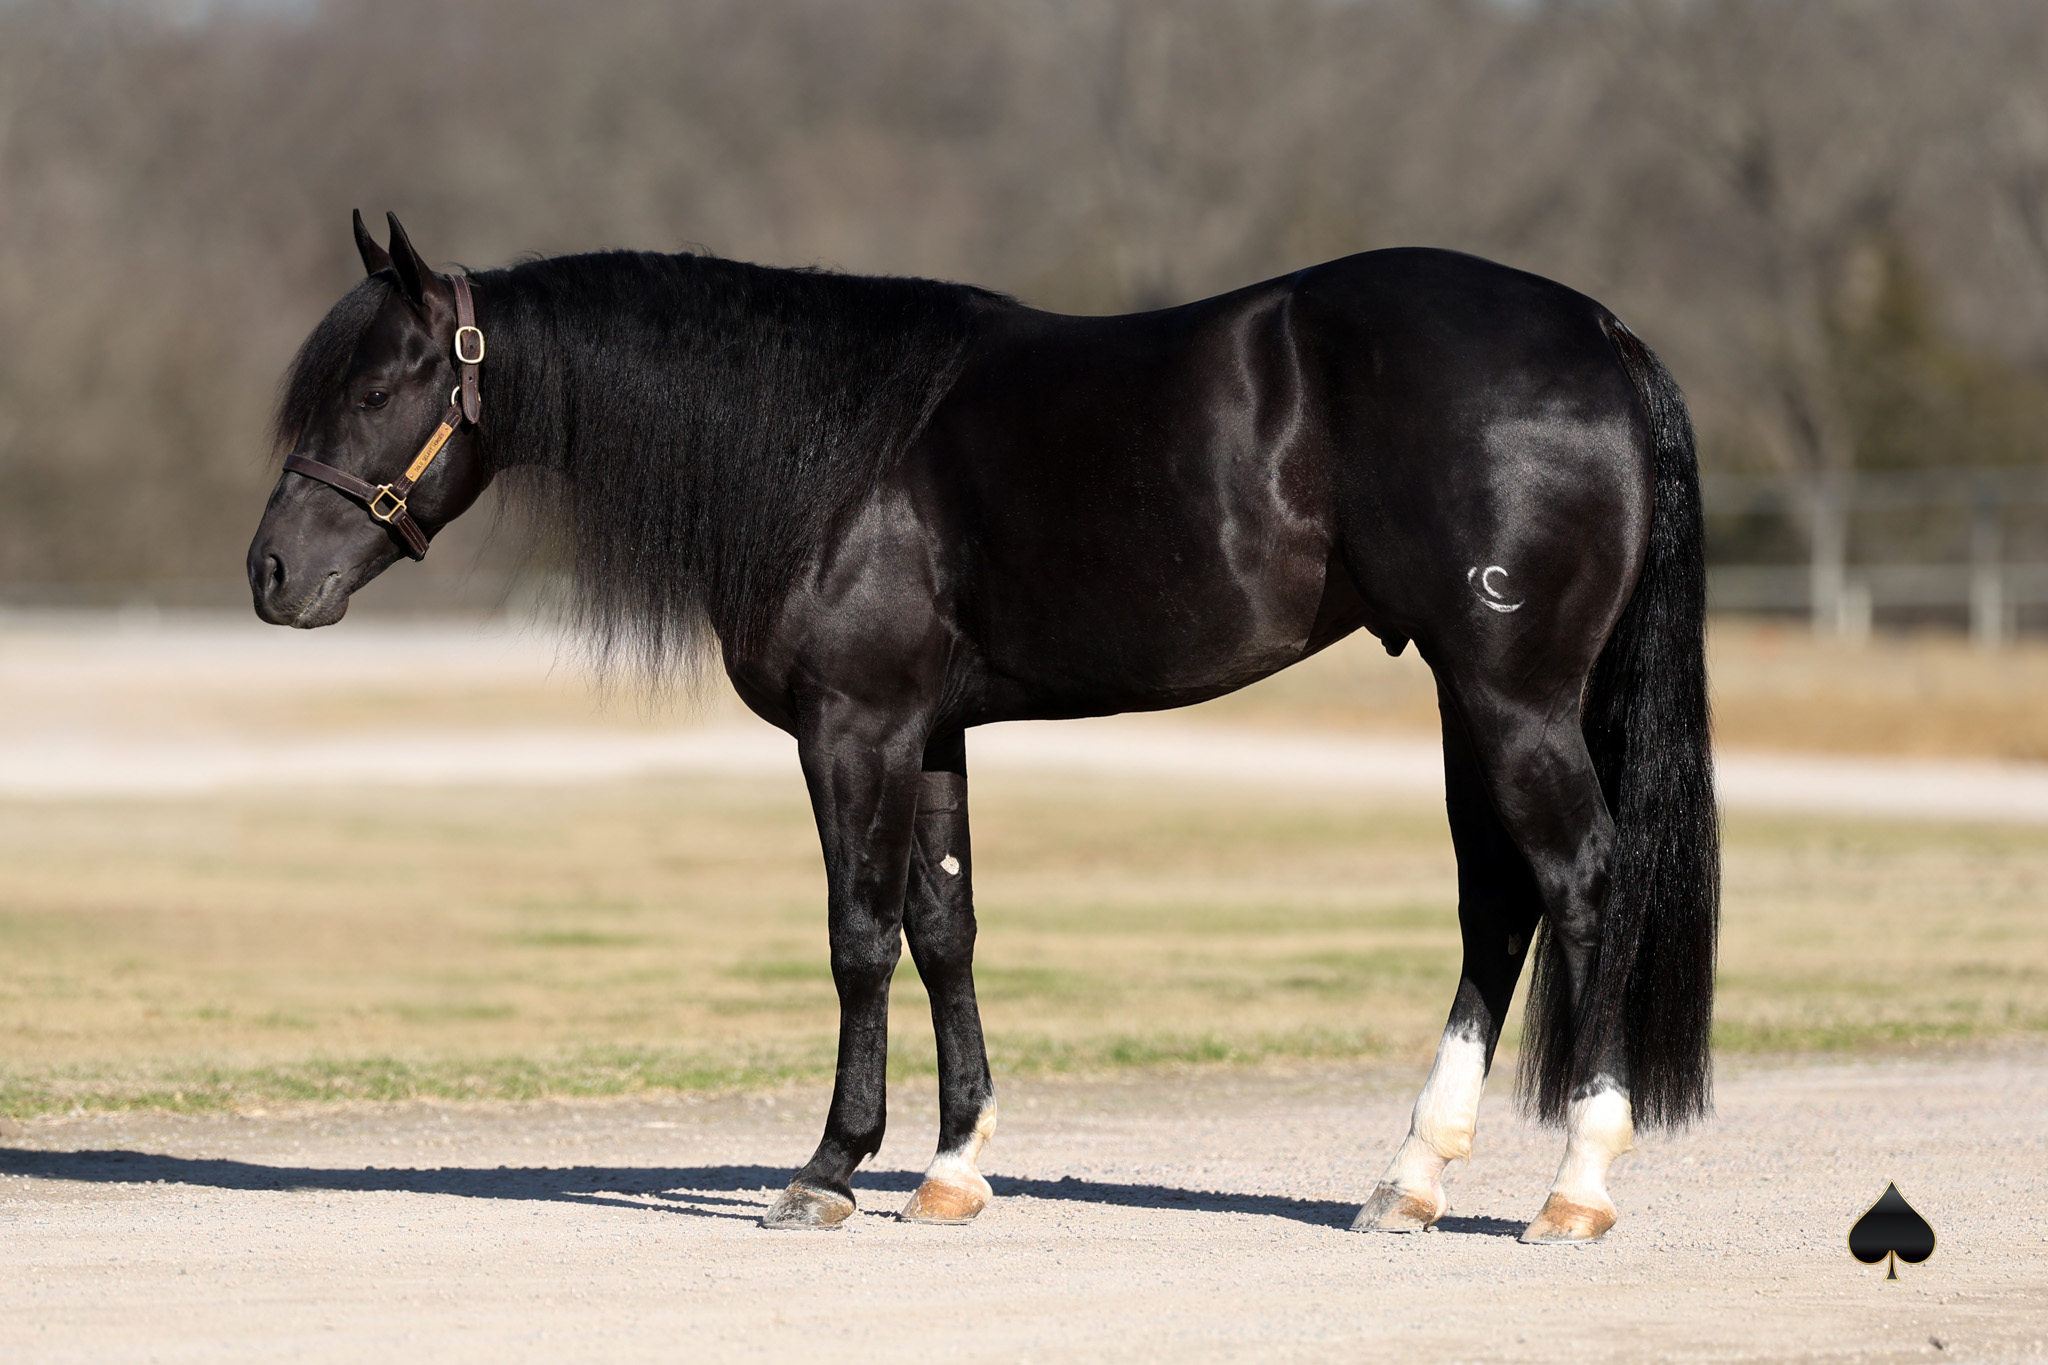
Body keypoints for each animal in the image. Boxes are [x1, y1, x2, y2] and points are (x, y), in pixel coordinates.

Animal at [248, 212, 1717, 1243]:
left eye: (378, 389)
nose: (270, 576)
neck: (831, 455)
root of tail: (1599, 331)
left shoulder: (854, 731)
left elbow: (856, 938)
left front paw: (828, 1170)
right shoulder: (933, 733)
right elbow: (943, 928)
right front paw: (953, 1170)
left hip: (1512, 695)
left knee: (1583, 881)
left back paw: (1574, 1186)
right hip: (1473, 697)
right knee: (1497, 905)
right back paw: (1406, 1181)